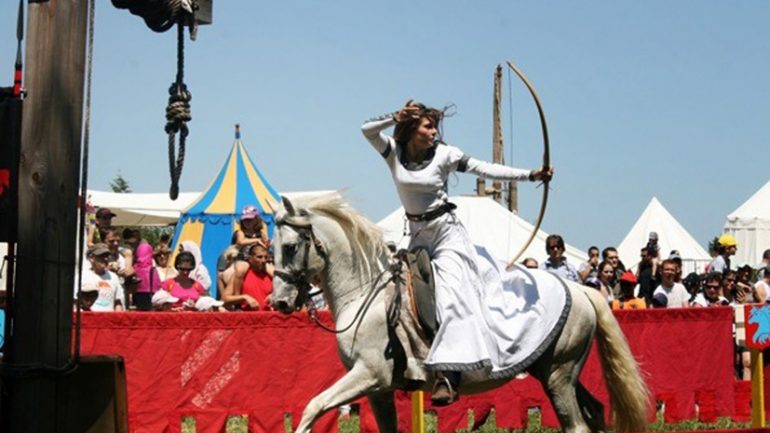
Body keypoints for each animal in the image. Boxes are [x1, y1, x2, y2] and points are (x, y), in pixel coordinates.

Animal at [270, 194, 648, 432]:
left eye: (289, 247)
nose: (280, 302)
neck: (368, 296)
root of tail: (580, 290)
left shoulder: (368, 375)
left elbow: (312, 407)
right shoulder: (379, 390)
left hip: (557, 375)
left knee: (578, 425)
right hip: (559, 373)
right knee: (595, 413)